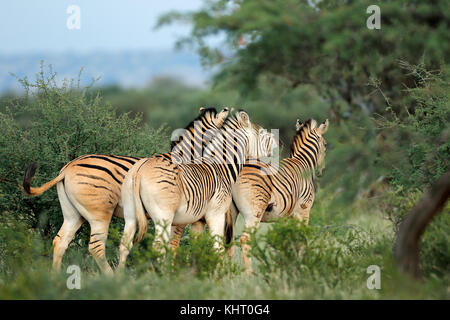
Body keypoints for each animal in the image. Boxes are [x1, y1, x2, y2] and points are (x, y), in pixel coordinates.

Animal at [22, 107, 230, 276]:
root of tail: (67, 168)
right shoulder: (180, 215)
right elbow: (175, 245)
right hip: (99, 212)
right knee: (95, 247)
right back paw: (110, 277)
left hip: (73, 213)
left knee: (60, 241)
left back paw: (55, 278)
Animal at [118, 110, 274, 268]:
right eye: (262, 133)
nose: (276, 142)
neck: (222, 168)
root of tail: (140, 169)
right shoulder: (216, 214)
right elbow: (217, 249)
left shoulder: (197, 221)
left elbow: (195, 248)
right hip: (163, 216)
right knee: (158, 247)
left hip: (130, 214)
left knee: (125, 244)